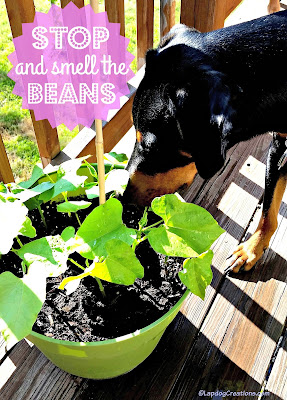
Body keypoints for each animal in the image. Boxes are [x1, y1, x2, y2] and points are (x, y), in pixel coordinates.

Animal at [125, 9, 287, 274]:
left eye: (151, 146)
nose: (122, 198)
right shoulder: (279, 144)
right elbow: (268, 208)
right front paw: (251, 250)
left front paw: (251, 249)